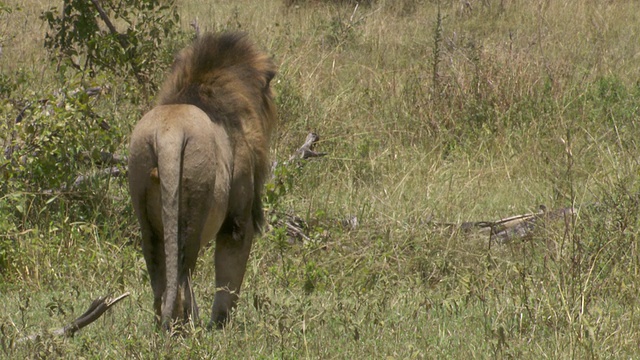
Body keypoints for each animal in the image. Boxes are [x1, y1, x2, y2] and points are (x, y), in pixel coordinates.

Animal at [127, 32, 276, 330]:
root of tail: (169, 135)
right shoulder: (237, 217)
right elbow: (230, 275)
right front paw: (221, 324)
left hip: (143, 197)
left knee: (161, 279)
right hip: (193, 207)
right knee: (183, 278)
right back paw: (188, 328)